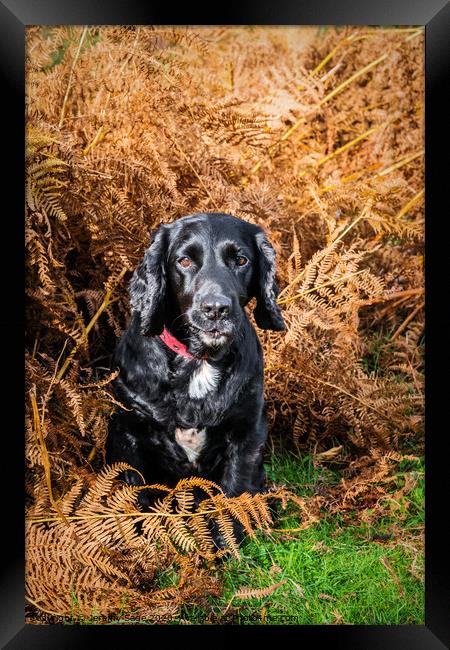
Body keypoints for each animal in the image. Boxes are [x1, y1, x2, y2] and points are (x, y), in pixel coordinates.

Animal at [106, 211, 284, 540]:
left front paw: (228, 539)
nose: (216, 308)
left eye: (241, 260)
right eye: (185, 261)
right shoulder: (128, 429)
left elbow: (236, 491)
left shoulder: (247, 429)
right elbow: (135, 492)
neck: (200, 360)